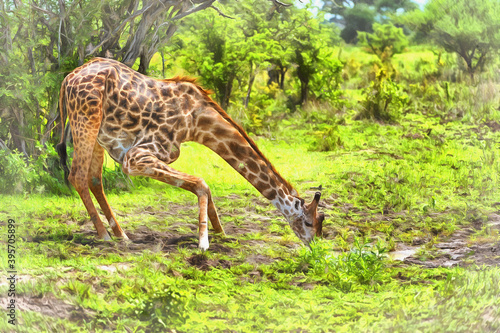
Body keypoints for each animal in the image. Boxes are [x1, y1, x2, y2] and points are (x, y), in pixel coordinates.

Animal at [56, 57, 326, 249]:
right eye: (309, 222)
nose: (315, 245)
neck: (196, 123)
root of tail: (67, 79)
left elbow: (203, 186)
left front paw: (221, 234)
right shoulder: (137, 157)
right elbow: (201, 183)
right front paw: (204, 241)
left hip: (98, 135)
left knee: (94, 179)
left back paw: (122, 235)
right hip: (86, 119)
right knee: (77, 175)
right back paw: (104, 236)